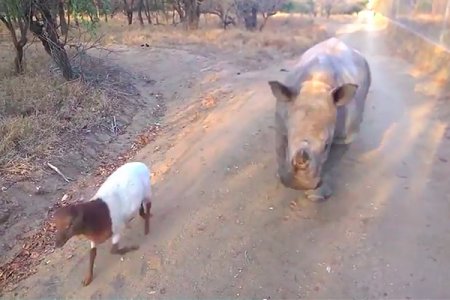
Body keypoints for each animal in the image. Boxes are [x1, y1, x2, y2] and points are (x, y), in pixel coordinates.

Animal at [268, 37, 370, 202]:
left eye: (326, 145)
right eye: (289, 138)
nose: (299, 185)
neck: (316, 84)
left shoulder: (344, 138)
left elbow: (331, 163)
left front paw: (317, 196)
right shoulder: (281, 125)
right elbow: (280, 150)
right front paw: (281, 175)